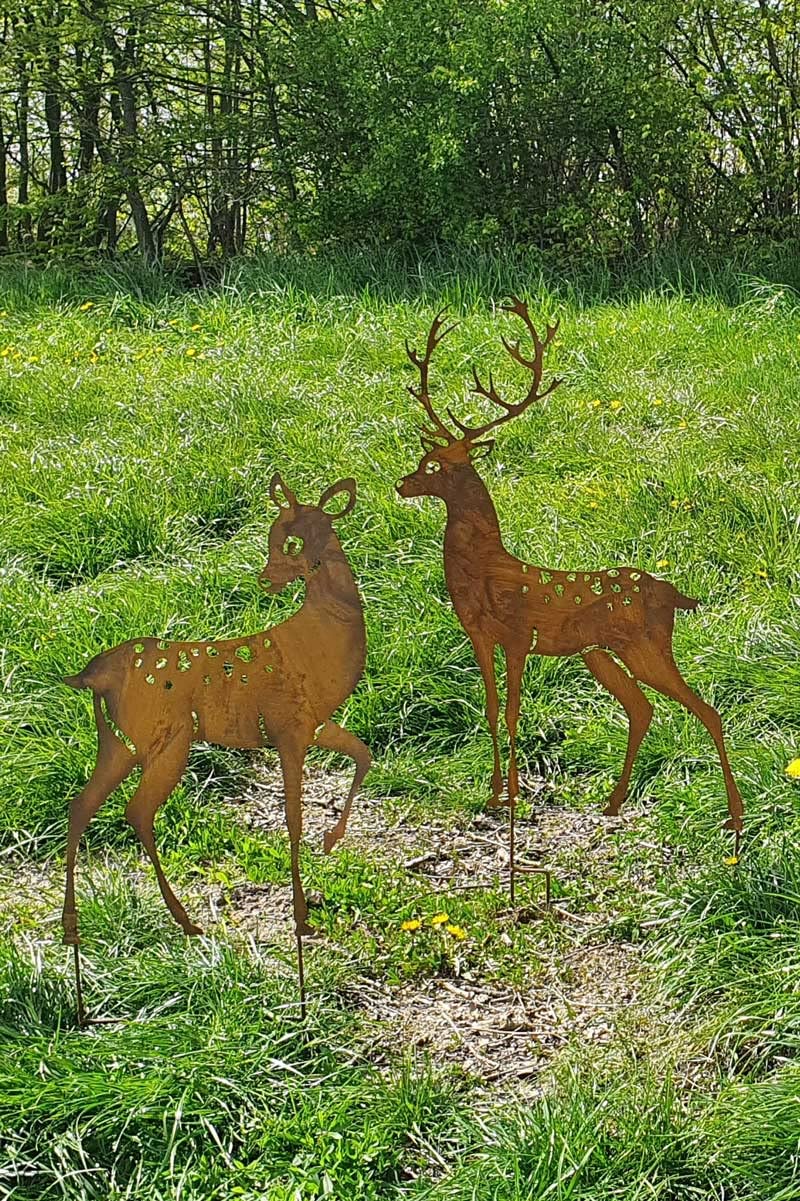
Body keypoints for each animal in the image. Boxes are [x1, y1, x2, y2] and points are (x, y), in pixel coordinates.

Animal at [61, 473, 371, 1018]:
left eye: (294, 542)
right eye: (274, 538)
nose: (266, 580)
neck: (318, 645)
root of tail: (92, 676)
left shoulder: (313, 726)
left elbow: (363, 756)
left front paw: (331, 843)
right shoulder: (289, 730)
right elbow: (292, 820)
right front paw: (302, 922)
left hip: (119, 744)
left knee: (84, 807)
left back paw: (77, 945)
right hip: (165, 740)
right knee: (136, 810)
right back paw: (186, 923)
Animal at [396, 300, 744, 880]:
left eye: (435, 466)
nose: (402, 484)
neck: (484, 572)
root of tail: (673, 593)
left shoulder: (517, 636)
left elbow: (513, 712)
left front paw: (514, 797)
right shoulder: (478, 636)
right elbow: (489, 708)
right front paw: (493, 795)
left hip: (646, 646)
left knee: (705, 709)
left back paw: (735, 822)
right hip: (598, 654)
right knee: (642, 709)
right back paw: (613, 803)